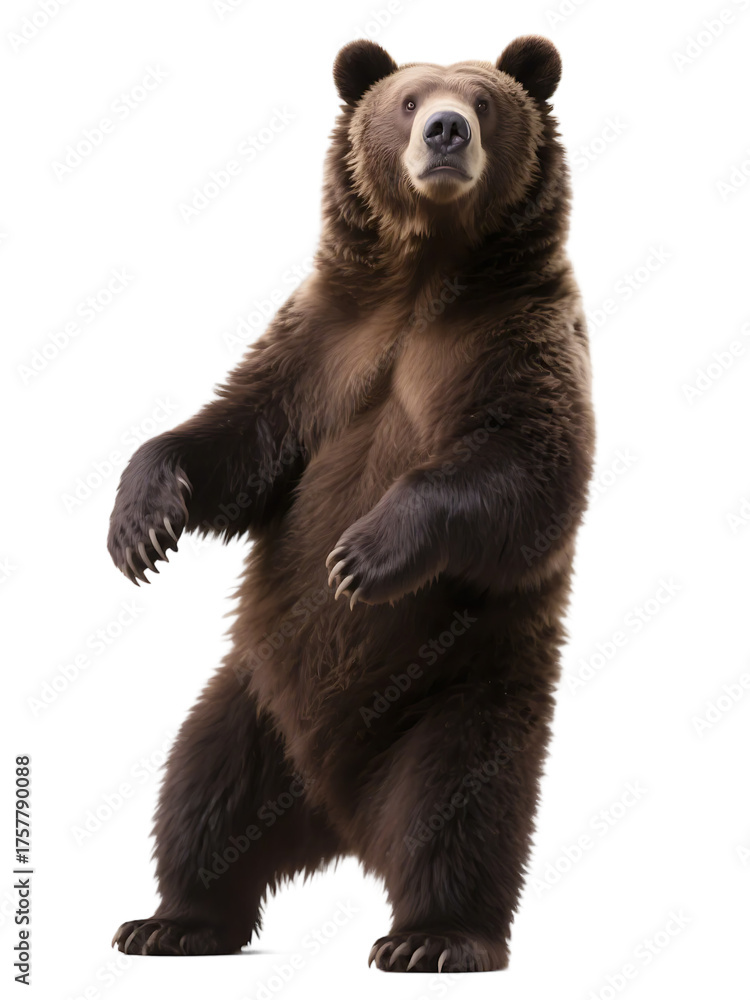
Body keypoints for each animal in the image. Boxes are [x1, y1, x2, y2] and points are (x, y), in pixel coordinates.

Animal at [108, 35, 594, 973]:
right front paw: (141, 523)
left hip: (461, 686)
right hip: (253, 696)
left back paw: (433, 936)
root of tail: (338, 818)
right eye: (407, 101)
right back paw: (172, 920)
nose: (446, 130)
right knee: (200, 788)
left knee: (462, 809)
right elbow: (237, 440)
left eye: (484, 99)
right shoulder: (323, 343)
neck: (427, 273)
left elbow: (529, 473)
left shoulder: (519, 342)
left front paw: (364, 553)